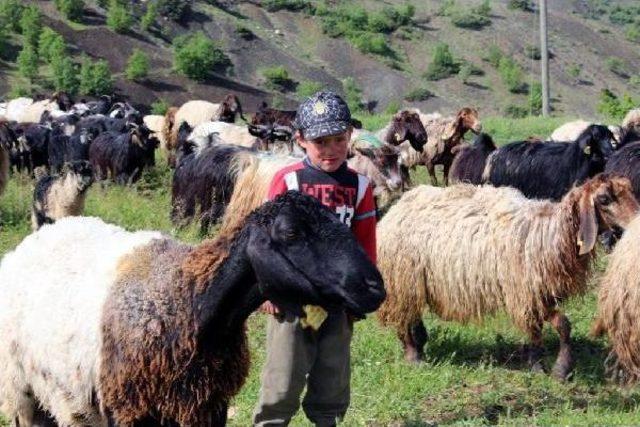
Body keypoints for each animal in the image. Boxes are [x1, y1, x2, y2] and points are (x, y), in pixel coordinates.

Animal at [0, 191, 382, 427]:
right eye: (289, 233)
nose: (375, 287)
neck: (192, 304)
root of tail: (36, 238)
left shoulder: (207, 404)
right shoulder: (126, 409)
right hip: (20, 389)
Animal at [378, 176, 636, 380]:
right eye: (604, 199)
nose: (635, 222)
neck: (548, 232)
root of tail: (398, 206)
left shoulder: (538, 293)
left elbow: (554, 327)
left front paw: (546, 366)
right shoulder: (524, 292)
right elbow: (550, 327)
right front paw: (553, 369)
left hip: (412, 281)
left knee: (411, 315)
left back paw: (420, 345)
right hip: (401, 279)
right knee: (403, 316)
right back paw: (413, 355)